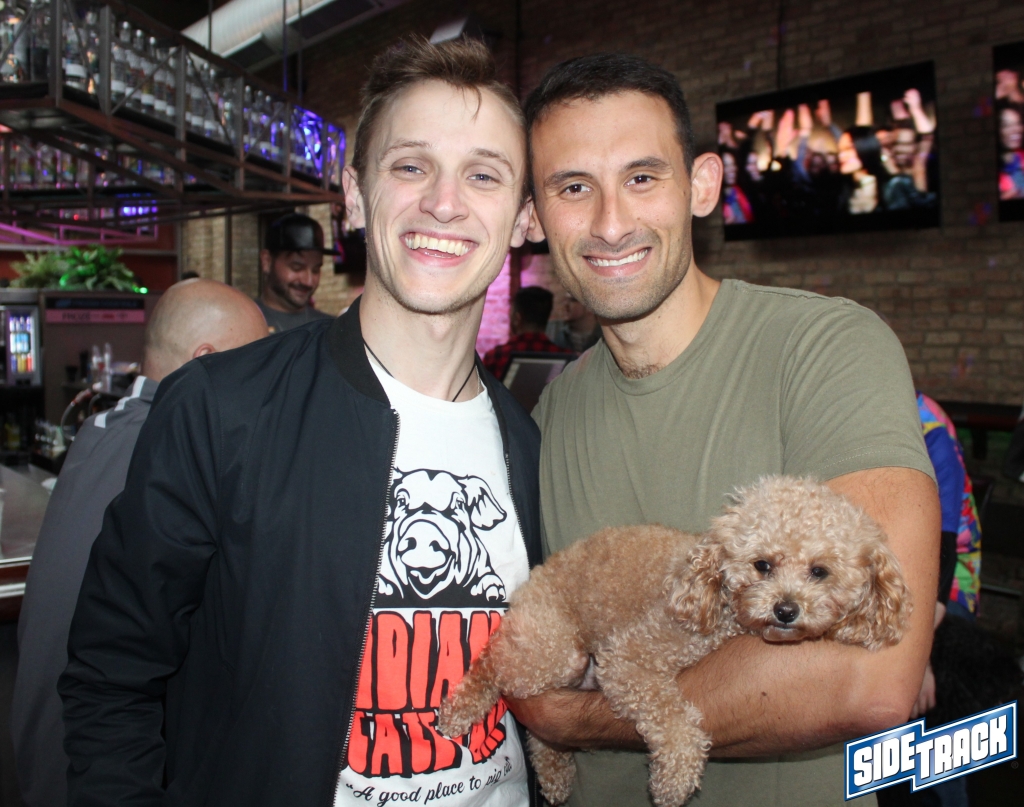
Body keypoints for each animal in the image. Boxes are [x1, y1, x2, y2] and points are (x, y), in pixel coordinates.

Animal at [377, 468, 509, 606]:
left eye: (459, 503)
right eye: (401, 501)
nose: (423, 529)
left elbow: (488, 576)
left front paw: (493, 593)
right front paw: (384, 590)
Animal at [437, 476, 912, 806]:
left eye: (820, 571)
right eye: (762, 565)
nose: (785, 609)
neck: (713, 597)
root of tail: (533, 579)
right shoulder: (630, 657)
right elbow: (674, 719)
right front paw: (674, 780)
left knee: (542, 733)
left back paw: (555, 774)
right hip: (552, 649)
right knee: (493, 668)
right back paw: (459, 711)